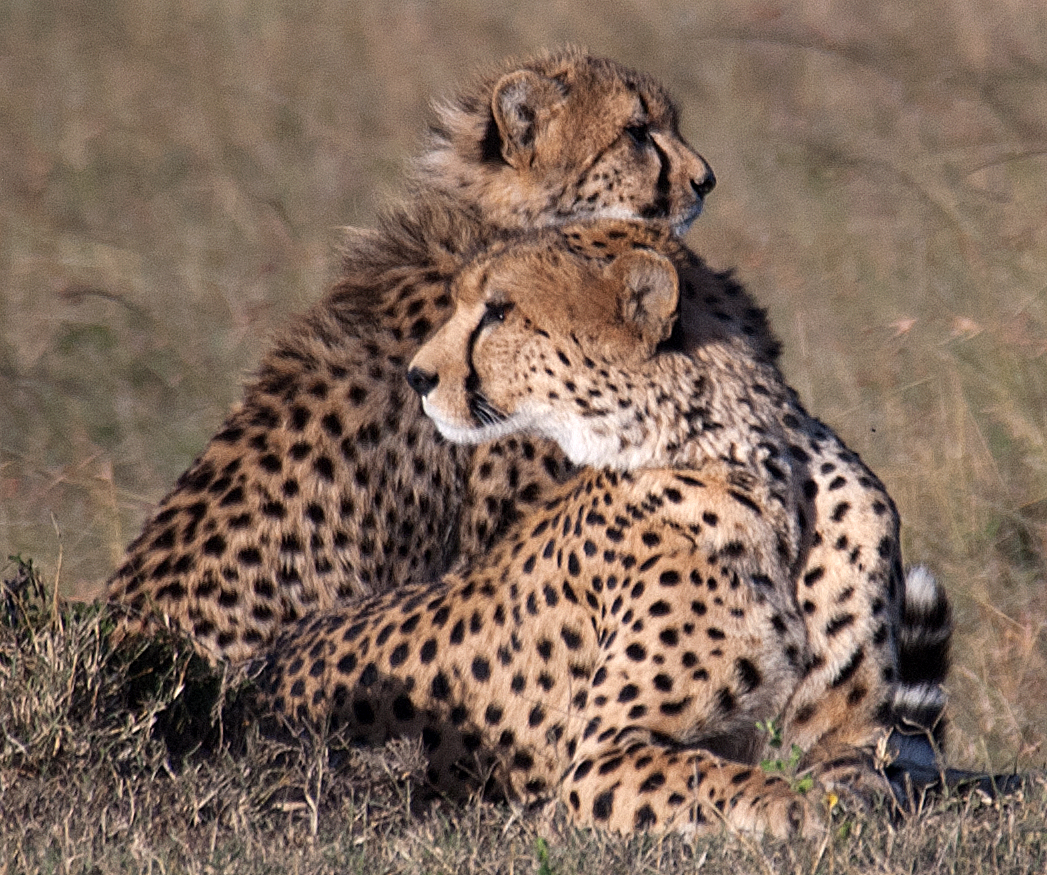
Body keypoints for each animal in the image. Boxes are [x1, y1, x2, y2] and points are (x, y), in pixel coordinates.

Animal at [257, 221, 954, 837]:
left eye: (499, 311)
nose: (418, 377)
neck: (761, 466)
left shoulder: (850, 732)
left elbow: (859, 769)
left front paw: (848, 798)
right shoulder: (601, 758)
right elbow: (724, 778)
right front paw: (801, 807)